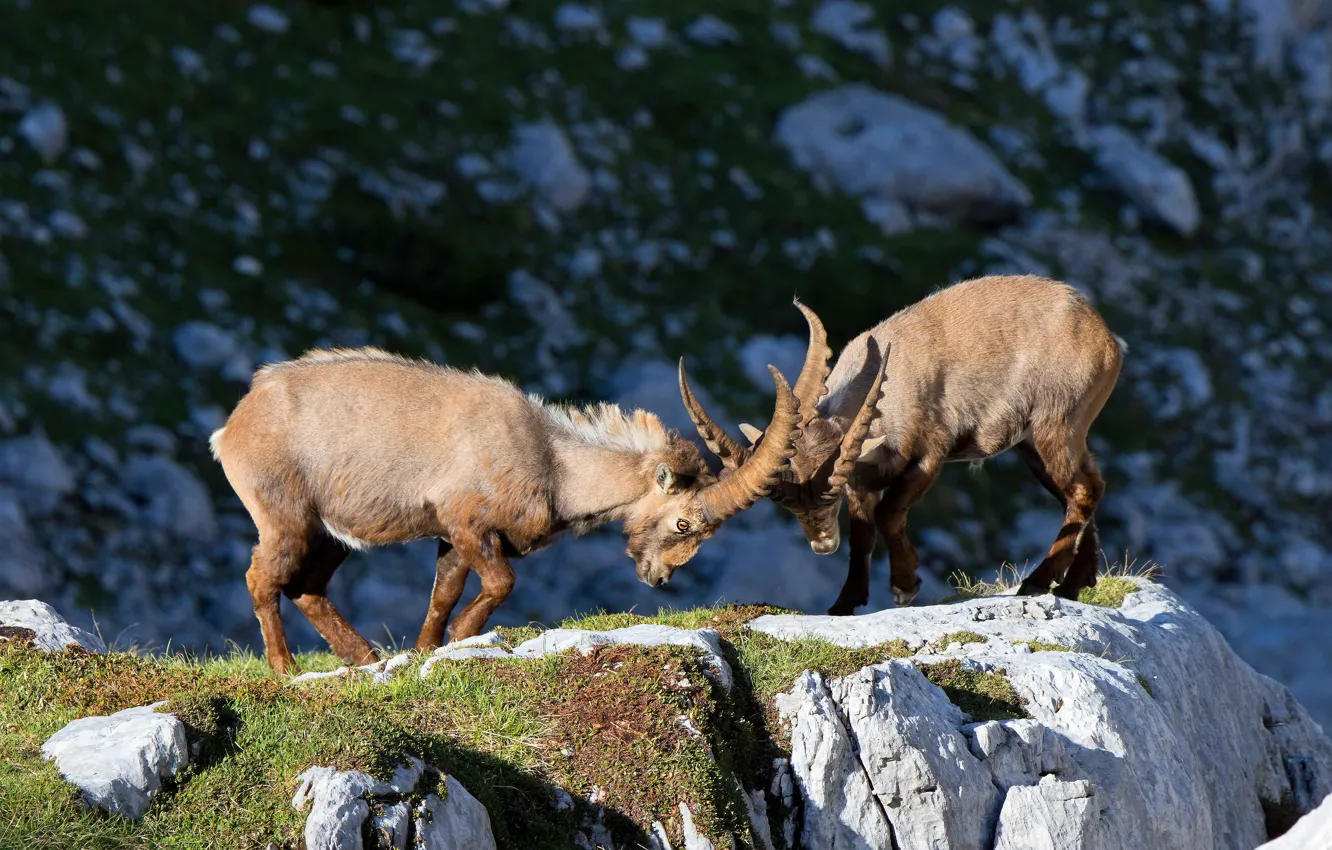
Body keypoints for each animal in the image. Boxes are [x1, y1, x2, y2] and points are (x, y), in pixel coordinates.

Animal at [211, 336, 815, 674]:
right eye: (684, 521)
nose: (658, 578)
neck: (553, 461)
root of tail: (235, 424)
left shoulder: (453, 537)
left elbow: (444, 594)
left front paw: (428, 650)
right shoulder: (467, 521)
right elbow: (501, 582)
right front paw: (461, 638)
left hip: (332, 532)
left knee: (308, 586)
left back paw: (365, 659)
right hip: (285, 513)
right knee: (262, 578)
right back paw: (284, 667)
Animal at [682, 276, 1125, 615]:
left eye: (828, 499)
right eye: (790, 507)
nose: (822, 546)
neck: (883, 385)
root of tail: (1107, 339)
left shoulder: (929, 455)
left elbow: (890, 514)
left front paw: (904, 585)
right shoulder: (860, 478)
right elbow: (862, 536)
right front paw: (844, 603)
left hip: (1056, 422)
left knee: (1082, 489)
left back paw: (1040, 581)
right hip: (1034, 445)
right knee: (1087, 487)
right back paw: (1074, 584)